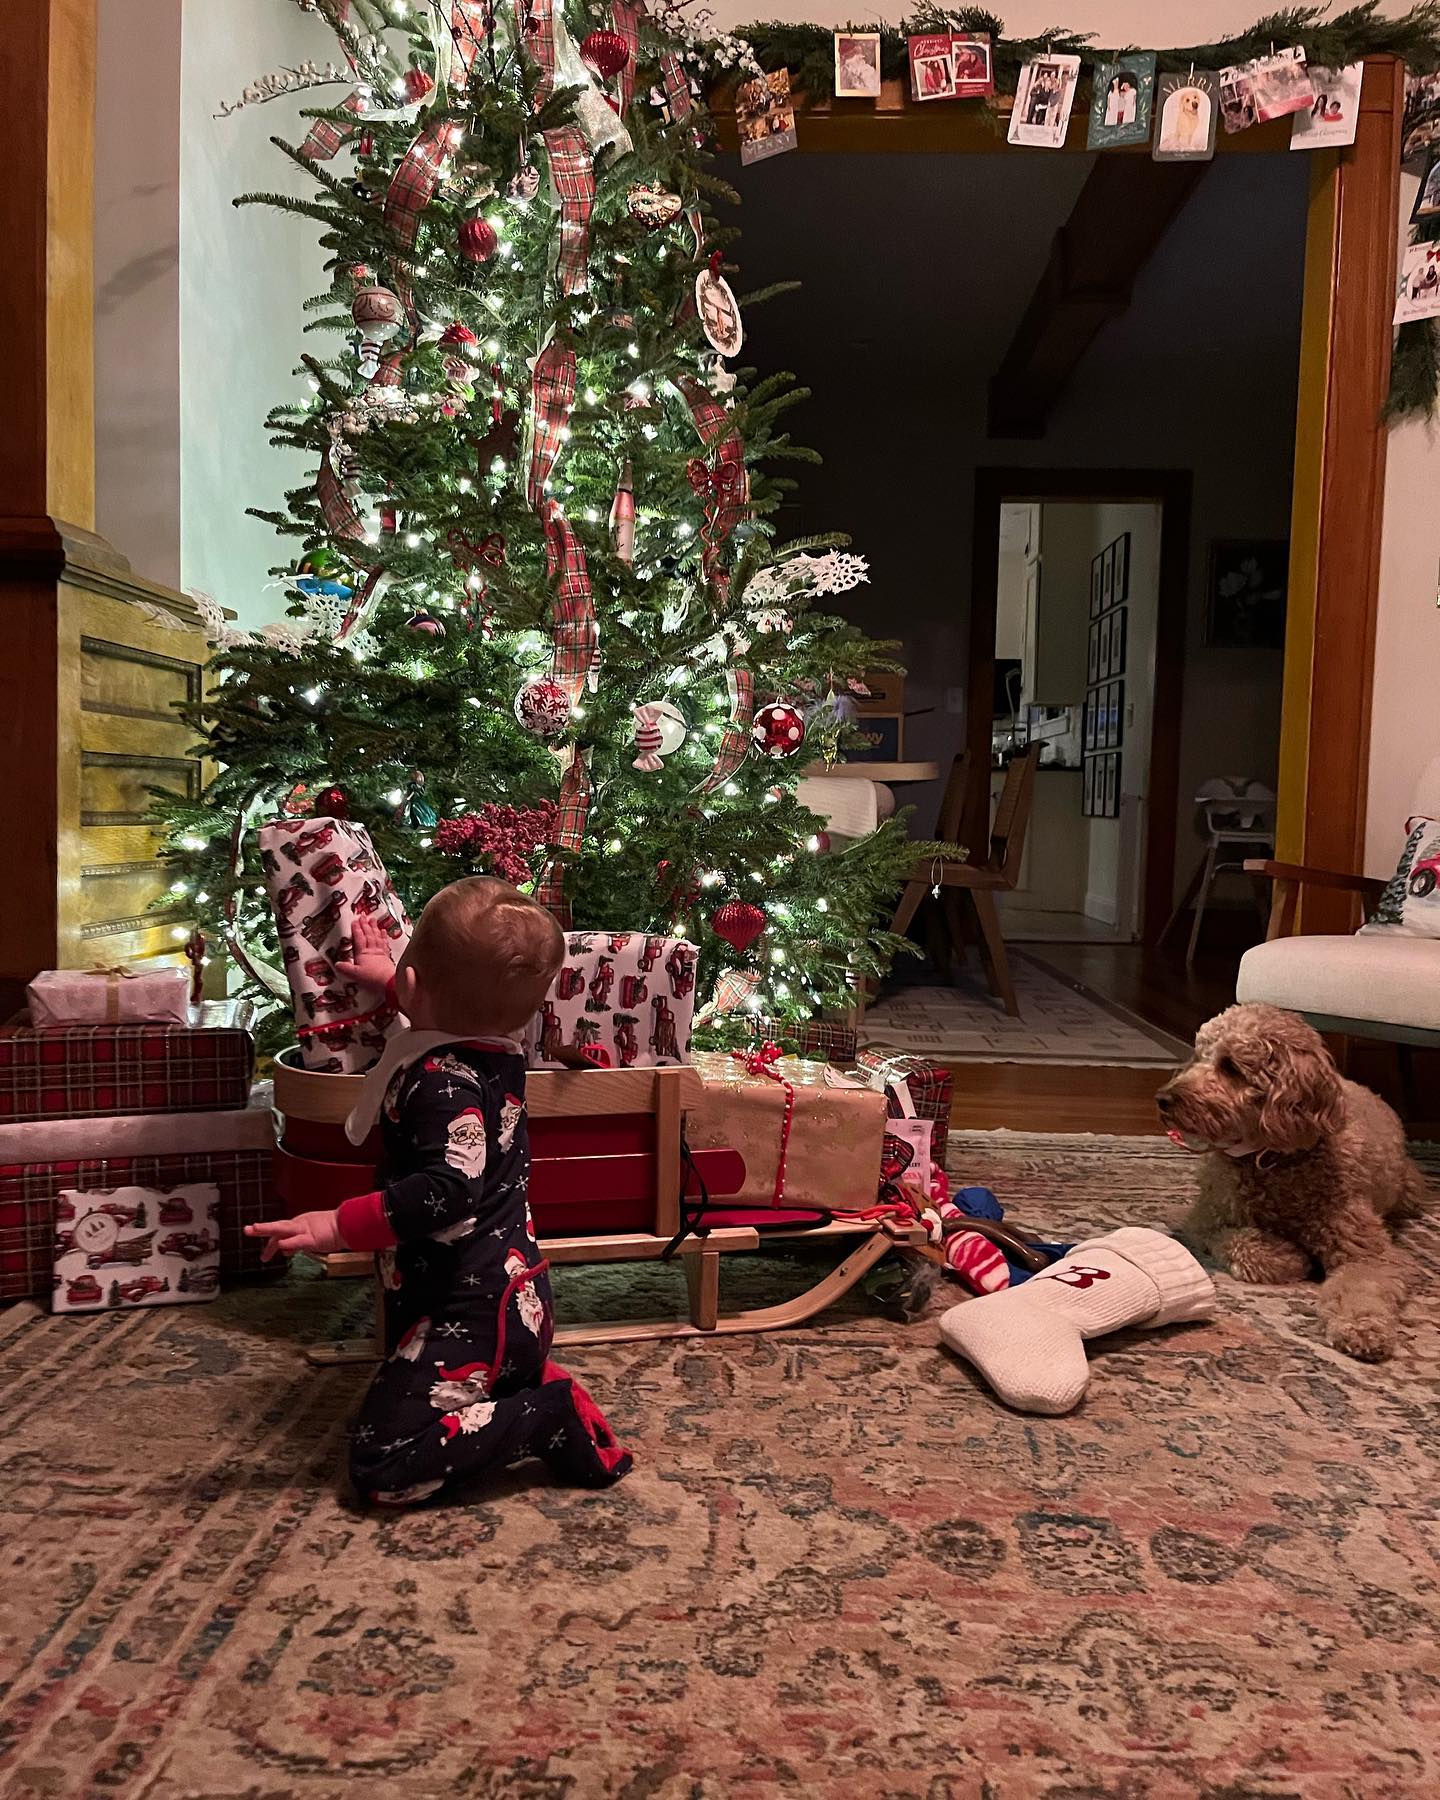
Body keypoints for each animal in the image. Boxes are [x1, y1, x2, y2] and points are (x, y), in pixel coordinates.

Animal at [1157, 1003, 1426, 1361]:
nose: (1162, 1098)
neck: (1271, 1160)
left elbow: (1361, 1286)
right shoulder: (1204, 1220)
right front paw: (1290, 1257)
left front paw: (1361, 1327)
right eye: (1198, 1056)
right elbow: (1240, 1240)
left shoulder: (1368, 1252)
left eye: (1230, 1066)